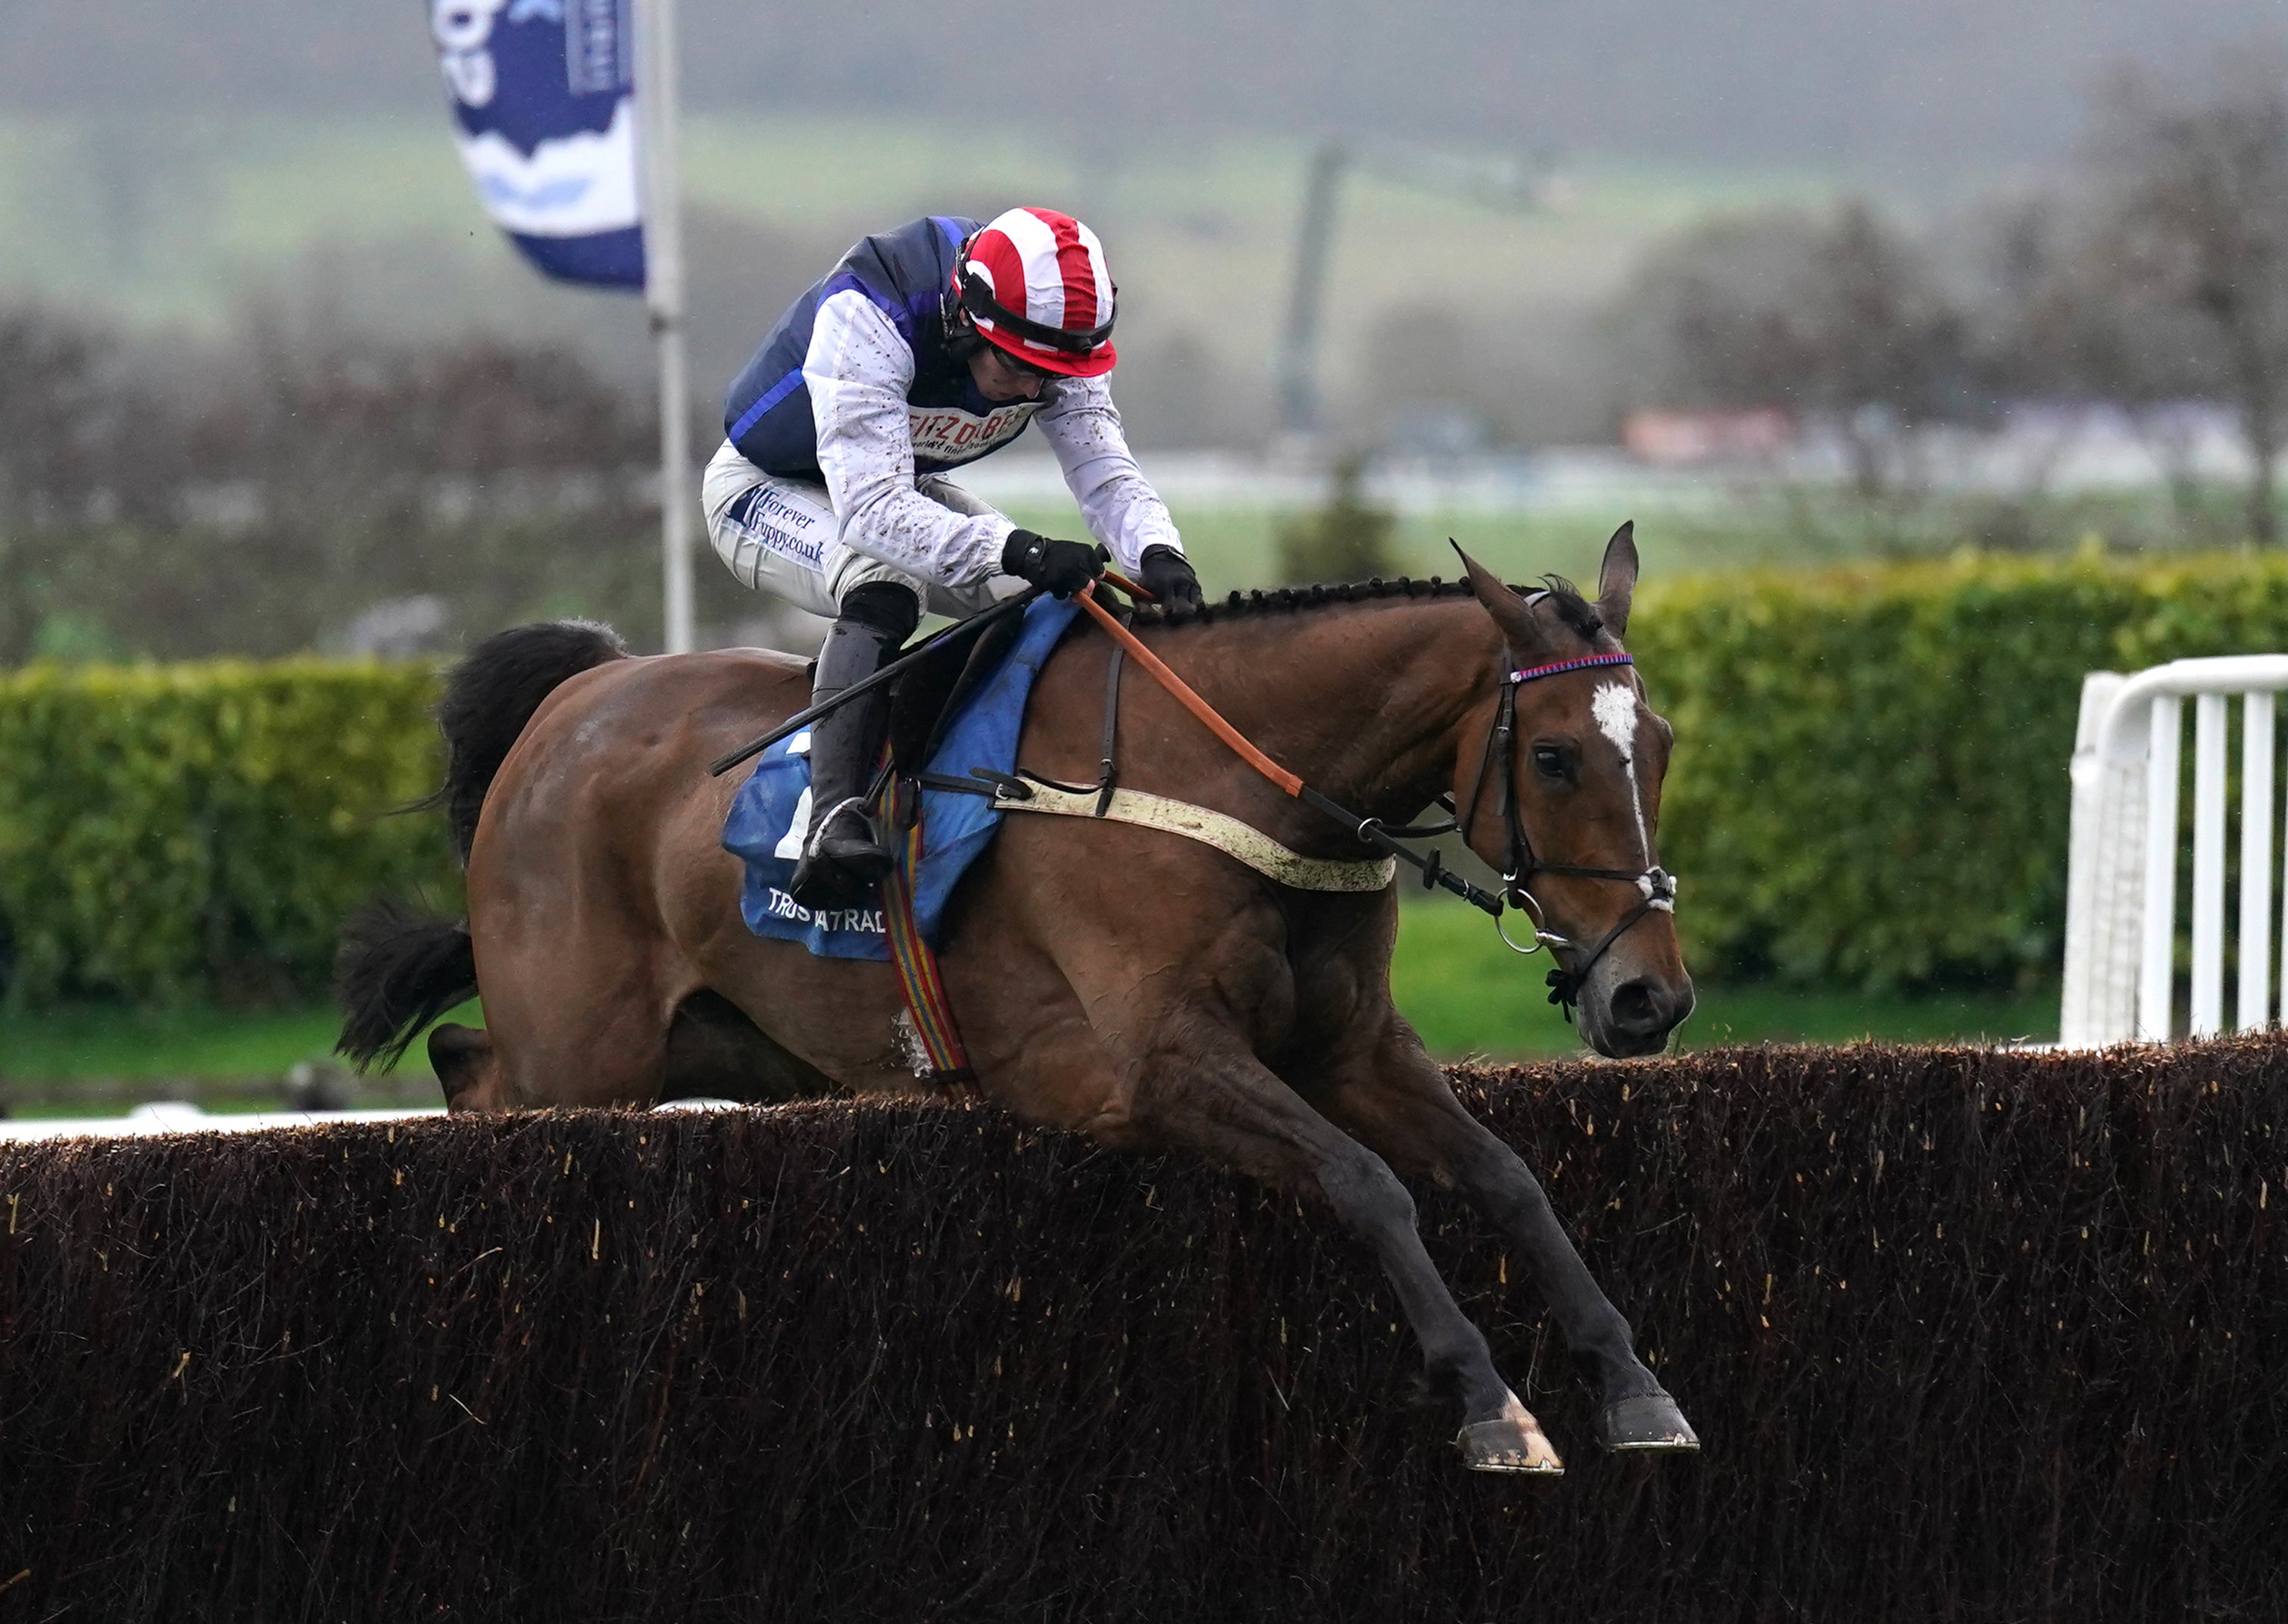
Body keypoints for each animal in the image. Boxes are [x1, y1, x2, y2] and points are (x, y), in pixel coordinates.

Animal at [339, 535, 1702, 1473]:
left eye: (1665, 743)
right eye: (1552, 756)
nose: (1649, 996)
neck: (1237, 789)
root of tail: (578, 696)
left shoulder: (1354, 1044)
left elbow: (1506, 1176)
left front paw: (1634, 1382)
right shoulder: (1154, 1063)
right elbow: (1369, 1184)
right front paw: (1491, 1404)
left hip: (726, 1047)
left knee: (464, 1061)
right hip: (586, 1053)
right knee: (484, 1083)